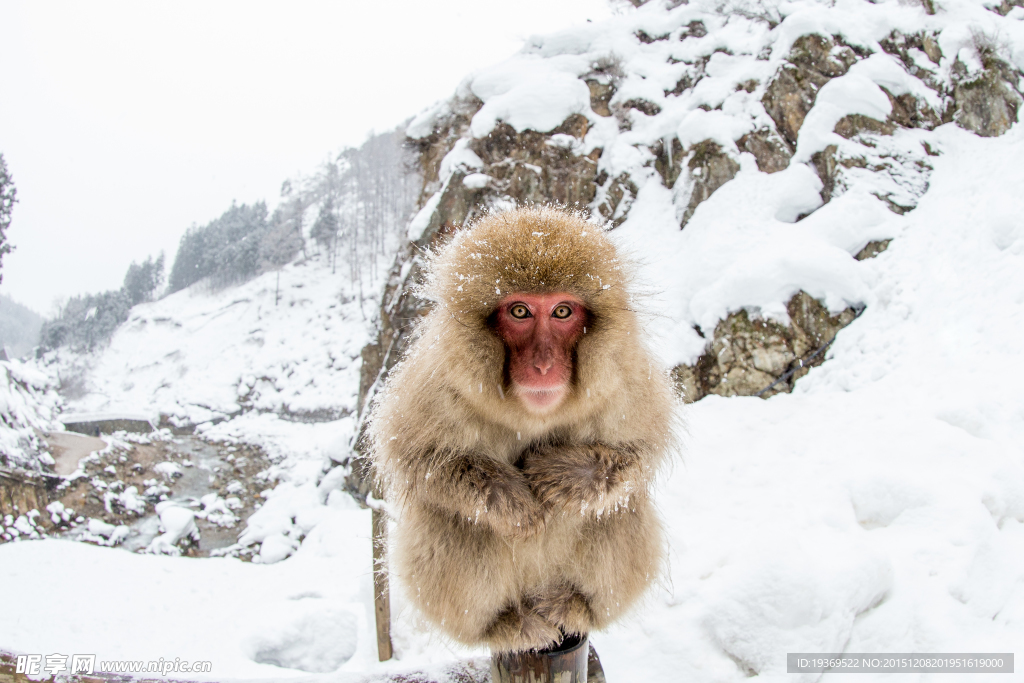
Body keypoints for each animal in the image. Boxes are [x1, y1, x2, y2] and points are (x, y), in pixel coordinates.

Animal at [364, 205, 675, 655]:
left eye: (562, 312)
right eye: (520, 312)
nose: (543, 365)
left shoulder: (624, 376)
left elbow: (639, 452)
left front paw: (568, 476)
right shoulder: (438, 380)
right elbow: (417, 459)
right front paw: (510, 498)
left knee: (617, 509)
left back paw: (574, 606)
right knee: (453, 521)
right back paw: (505, 624)